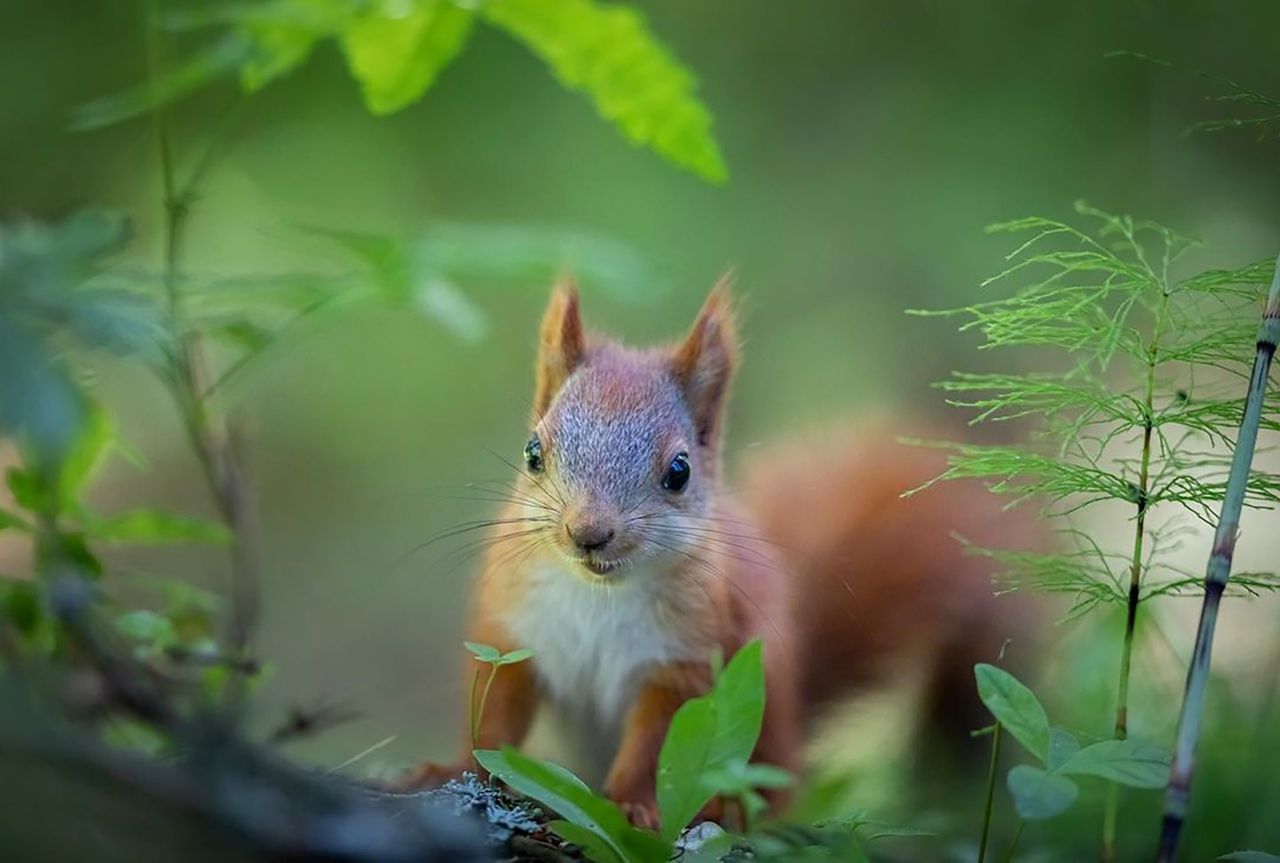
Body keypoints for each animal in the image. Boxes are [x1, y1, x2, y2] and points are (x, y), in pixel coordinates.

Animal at [407, 279, 1029, 824]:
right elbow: (493, 720)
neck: (599, 594)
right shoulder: (513, 631)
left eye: (679, 471)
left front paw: (631, 806)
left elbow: (657, 745)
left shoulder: (687, 658)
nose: (589, 533)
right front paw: (449, 771)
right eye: (533, 452)